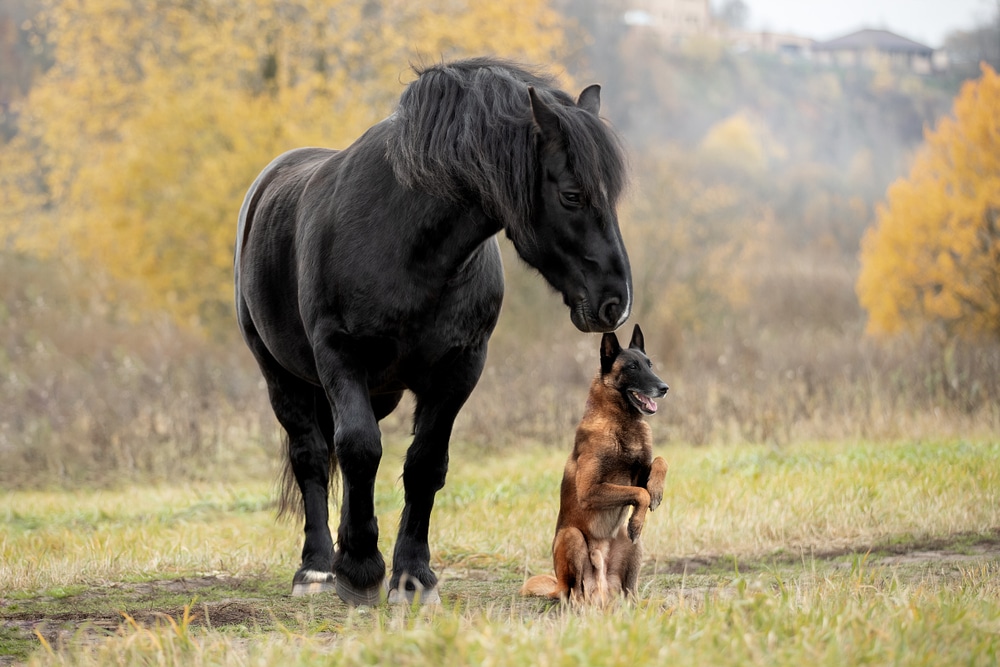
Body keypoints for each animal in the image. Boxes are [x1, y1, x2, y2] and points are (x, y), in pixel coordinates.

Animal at [232, 60, 632, 608]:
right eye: (571, 195)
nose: (616, 301)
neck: (404, 245)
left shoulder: (459, 369)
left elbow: (423, 464)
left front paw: (411, 577)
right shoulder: (339, 356)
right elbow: (360, 447)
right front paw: (360, 569)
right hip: (282, 376)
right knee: (312, 455)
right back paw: (316, 569)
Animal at [520, 324, 668, 604]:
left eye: (650, 364)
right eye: (632, 367)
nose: (664, 387)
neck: (621, 422)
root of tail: (601, 589)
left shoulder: (639, 472)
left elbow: (659, 463)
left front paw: (656, 490)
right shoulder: (590, 491)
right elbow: (639, 494)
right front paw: (638, 516)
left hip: (633, 546)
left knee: (628, 587)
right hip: (572, 537)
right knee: (573, 591)